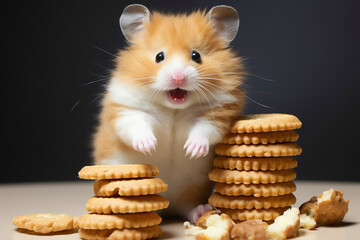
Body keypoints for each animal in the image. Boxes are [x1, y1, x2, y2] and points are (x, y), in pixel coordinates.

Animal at [91, 4, 246, 221]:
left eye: (196, 56)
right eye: (159, 56)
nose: (178, 78)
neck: (174, 108)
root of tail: (167, 204)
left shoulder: (219, 111)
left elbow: (204, 130)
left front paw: (192, 150)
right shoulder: (127, 108)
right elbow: (137, 126)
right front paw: (149, 146)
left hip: (191, 187)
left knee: (186, 206)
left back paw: (201, 211)